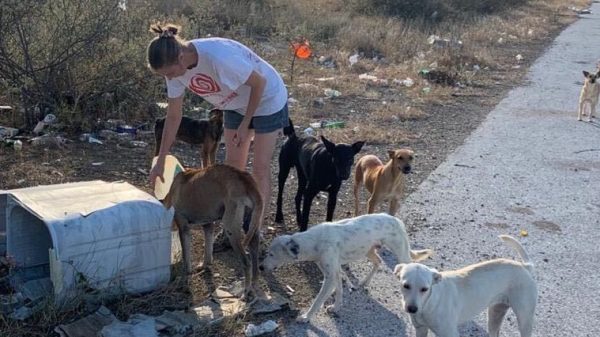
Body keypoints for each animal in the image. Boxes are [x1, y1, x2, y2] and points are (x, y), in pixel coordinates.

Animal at [162, 164, 262, 298]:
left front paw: (184, 281)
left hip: (231, 229)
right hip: (251, 227)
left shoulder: (184, 228)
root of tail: (246, 180)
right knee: (255, 256)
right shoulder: (208, 225)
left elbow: (186, 259)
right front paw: (205, 265)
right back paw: (254, 284)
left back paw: (246, 291)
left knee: (247, 261)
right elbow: (208, 250)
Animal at [258, 214, 432, 322]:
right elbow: (339, 290)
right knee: (378, 262)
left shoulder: (330, 276)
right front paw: (336, 308)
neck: (314, 241)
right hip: (368, 250)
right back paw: (364, 282)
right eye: (267, 253)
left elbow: (318, 300)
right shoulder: (333, 271)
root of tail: (396, 220)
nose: (260, 267)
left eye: (271, 254)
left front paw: (306, 317)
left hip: (400, 252)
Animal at [396, 234, 536, 336]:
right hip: (494, 315)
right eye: (406, 286)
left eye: (424, 289)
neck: (428, 304)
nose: (412, 309)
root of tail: (524, 266)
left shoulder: (449, 333)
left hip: (524, 320)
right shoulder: (420, 329)